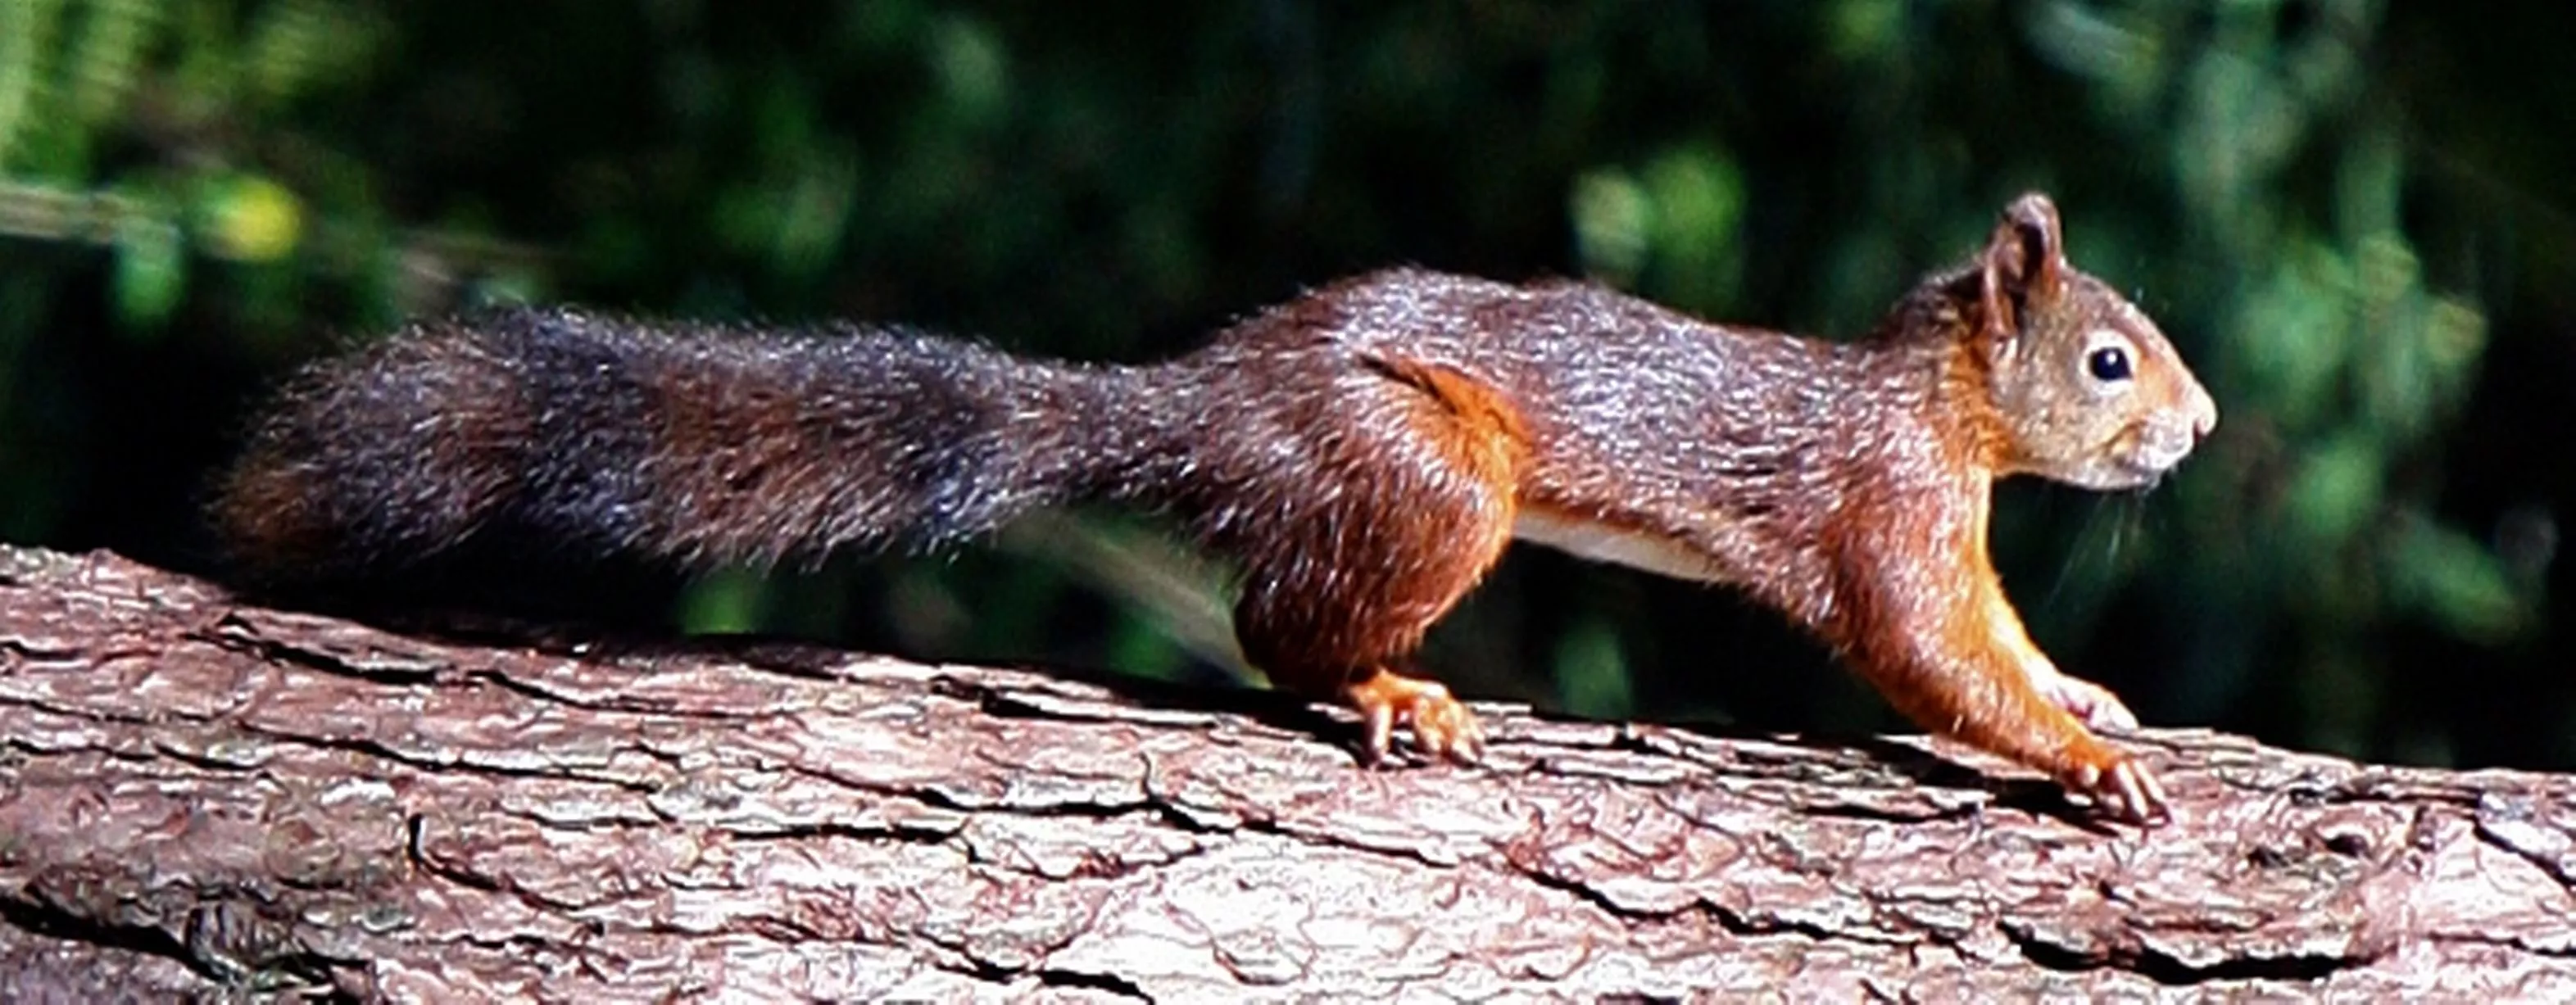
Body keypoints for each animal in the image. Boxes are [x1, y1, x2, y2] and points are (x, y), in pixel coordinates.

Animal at [216, 194, 2215, 824]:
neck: (1936, 403)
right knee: (1276, 627)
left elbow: (1993, 637)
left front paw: (2088, 693)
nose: (2198, 428)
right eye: (2109, 356)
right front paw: (2079, 757)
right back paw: (1386, 688)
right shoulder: (1884, 502)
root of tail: (1207, 407)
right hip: (1432, 475)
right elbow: (1926, 647)